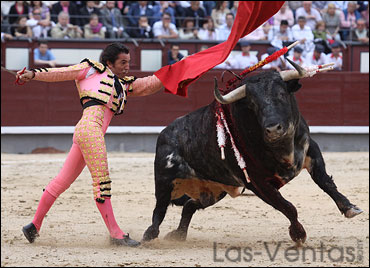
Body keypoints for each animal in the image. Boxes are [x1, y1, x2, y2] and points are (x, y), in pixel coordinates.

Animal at [143, 64, 362, 243]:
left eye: (281, 94)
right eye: (253, 104)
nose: (273, 129)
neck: (282, 147)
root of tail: (165, 132)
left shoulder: (310, 149)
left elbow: (326, 182)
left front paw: (350, 207)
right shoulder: (256, 183)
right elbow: (287, 206)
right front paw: (299, 234)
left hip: (215, 190)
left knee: (189, 205)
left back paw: (179, 234)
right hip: (164, 178)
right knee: (159, 209)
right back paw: (149, 235)